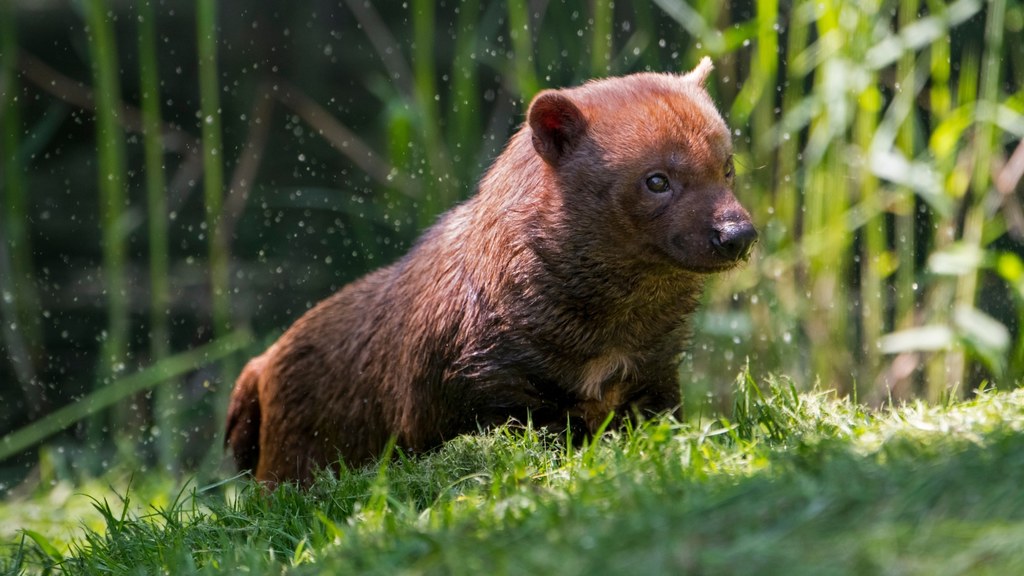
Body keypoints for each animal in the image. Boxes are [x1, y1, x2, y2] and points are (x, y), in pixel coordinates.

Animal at [232, 58, 761, 481]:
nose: (737, 234)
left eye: (727, 165)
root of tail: (258, 368)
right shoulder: (496, 392)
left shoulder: (654, 373)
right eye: (657, 180)